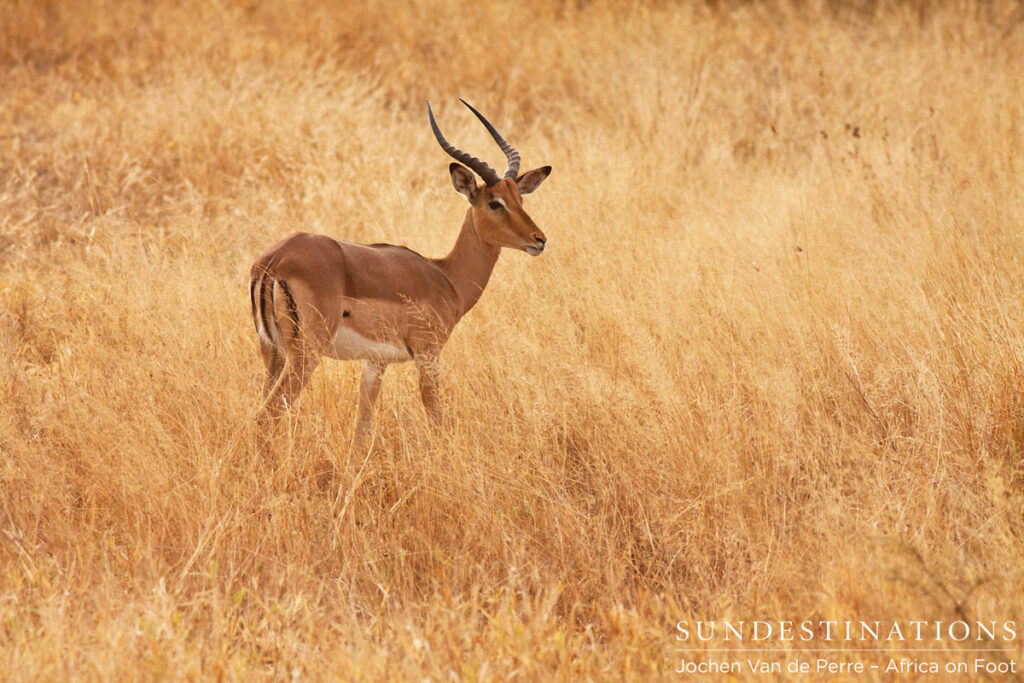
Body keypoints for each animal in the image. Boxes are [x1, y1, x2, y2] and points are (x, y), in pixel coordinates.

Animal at [249, 99, 551, 444]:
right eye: (495, 202)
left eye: (519, 198)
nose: (539, 239)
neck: (446, 277)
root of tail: (275, 259)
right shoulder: (428, 355)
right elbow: (436, 421)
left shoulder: (375, 362)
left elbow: (362, 428)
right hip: (305, 354)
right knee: (266, 416)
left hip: (272, 353)